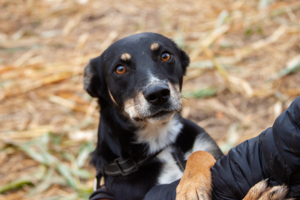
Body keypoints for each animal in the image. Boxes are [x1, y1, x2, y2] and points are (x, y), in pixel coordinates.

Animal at [83, 32, 224, 199]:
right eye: (120, 69)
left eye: (165, 56)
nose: (158, 94)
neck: (161, 142)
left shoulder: (206, 146)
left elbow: (198, 153)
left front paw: (192, 186)